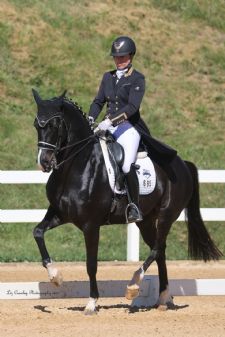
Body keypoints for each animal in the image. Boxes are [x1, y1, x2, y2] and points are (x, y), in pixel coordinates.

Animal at [32, 89, 223, 312]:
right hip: (146, 220)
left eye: (54, 125)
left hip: (167, 215)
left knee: (157, 248)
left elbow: (91, 264)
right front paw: (55, 277)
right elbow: (37, 232)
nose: (44, 162)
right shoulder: (59, 214)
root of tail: (182, 163)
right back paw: (163, 298)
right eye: (36, 125)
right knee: (159, 251)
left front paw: (92, 302)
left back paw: (133, 285)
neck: (77, 166)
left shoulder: (91, 225)